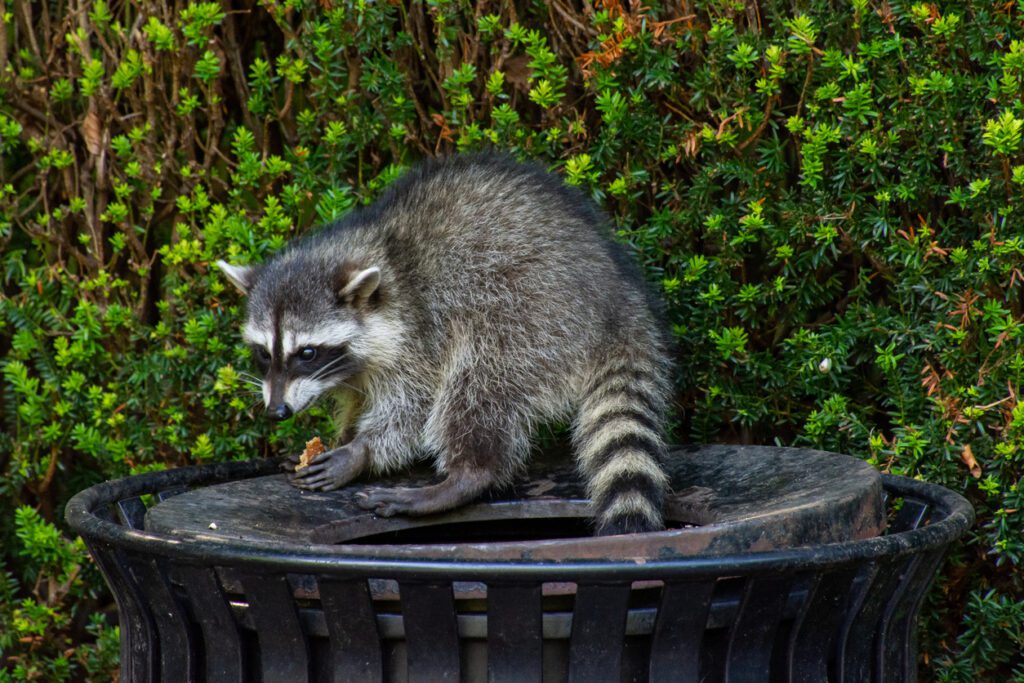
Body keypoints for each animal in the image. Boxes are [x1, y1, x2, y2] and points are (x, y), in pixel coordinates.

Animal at [217, 153, 673, 535]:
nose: (276, 411)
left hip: (532, 313)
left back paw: (466, 475)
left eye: (307, 353)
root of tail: (619, 298)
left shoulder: (420, 330)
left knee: (478, 383)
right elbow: (357, 400)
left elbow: (413, 406)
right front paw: (342, 436)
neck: (380, 250)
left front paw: (361, 451)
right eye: (263, 354)